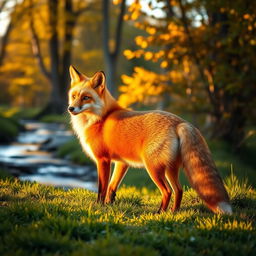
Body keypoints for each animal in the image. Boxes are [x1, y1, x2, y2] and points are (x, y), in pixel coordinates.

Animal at [67, 65, 232, 214]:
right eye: (74, 96)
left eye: (86, 97)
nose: (70, 108)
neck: (101, 118)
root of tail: (181, 122)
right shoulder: (122, 162)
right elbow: (112, 187)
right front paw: (109, 205)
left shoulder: (103, 160)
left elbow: (102, 188)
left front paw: (99, 206)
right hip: (170, 168)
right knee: (178, 190)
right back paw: (173, 212)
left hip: (153, 168)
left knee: (167, 191)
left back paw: (159, 213)